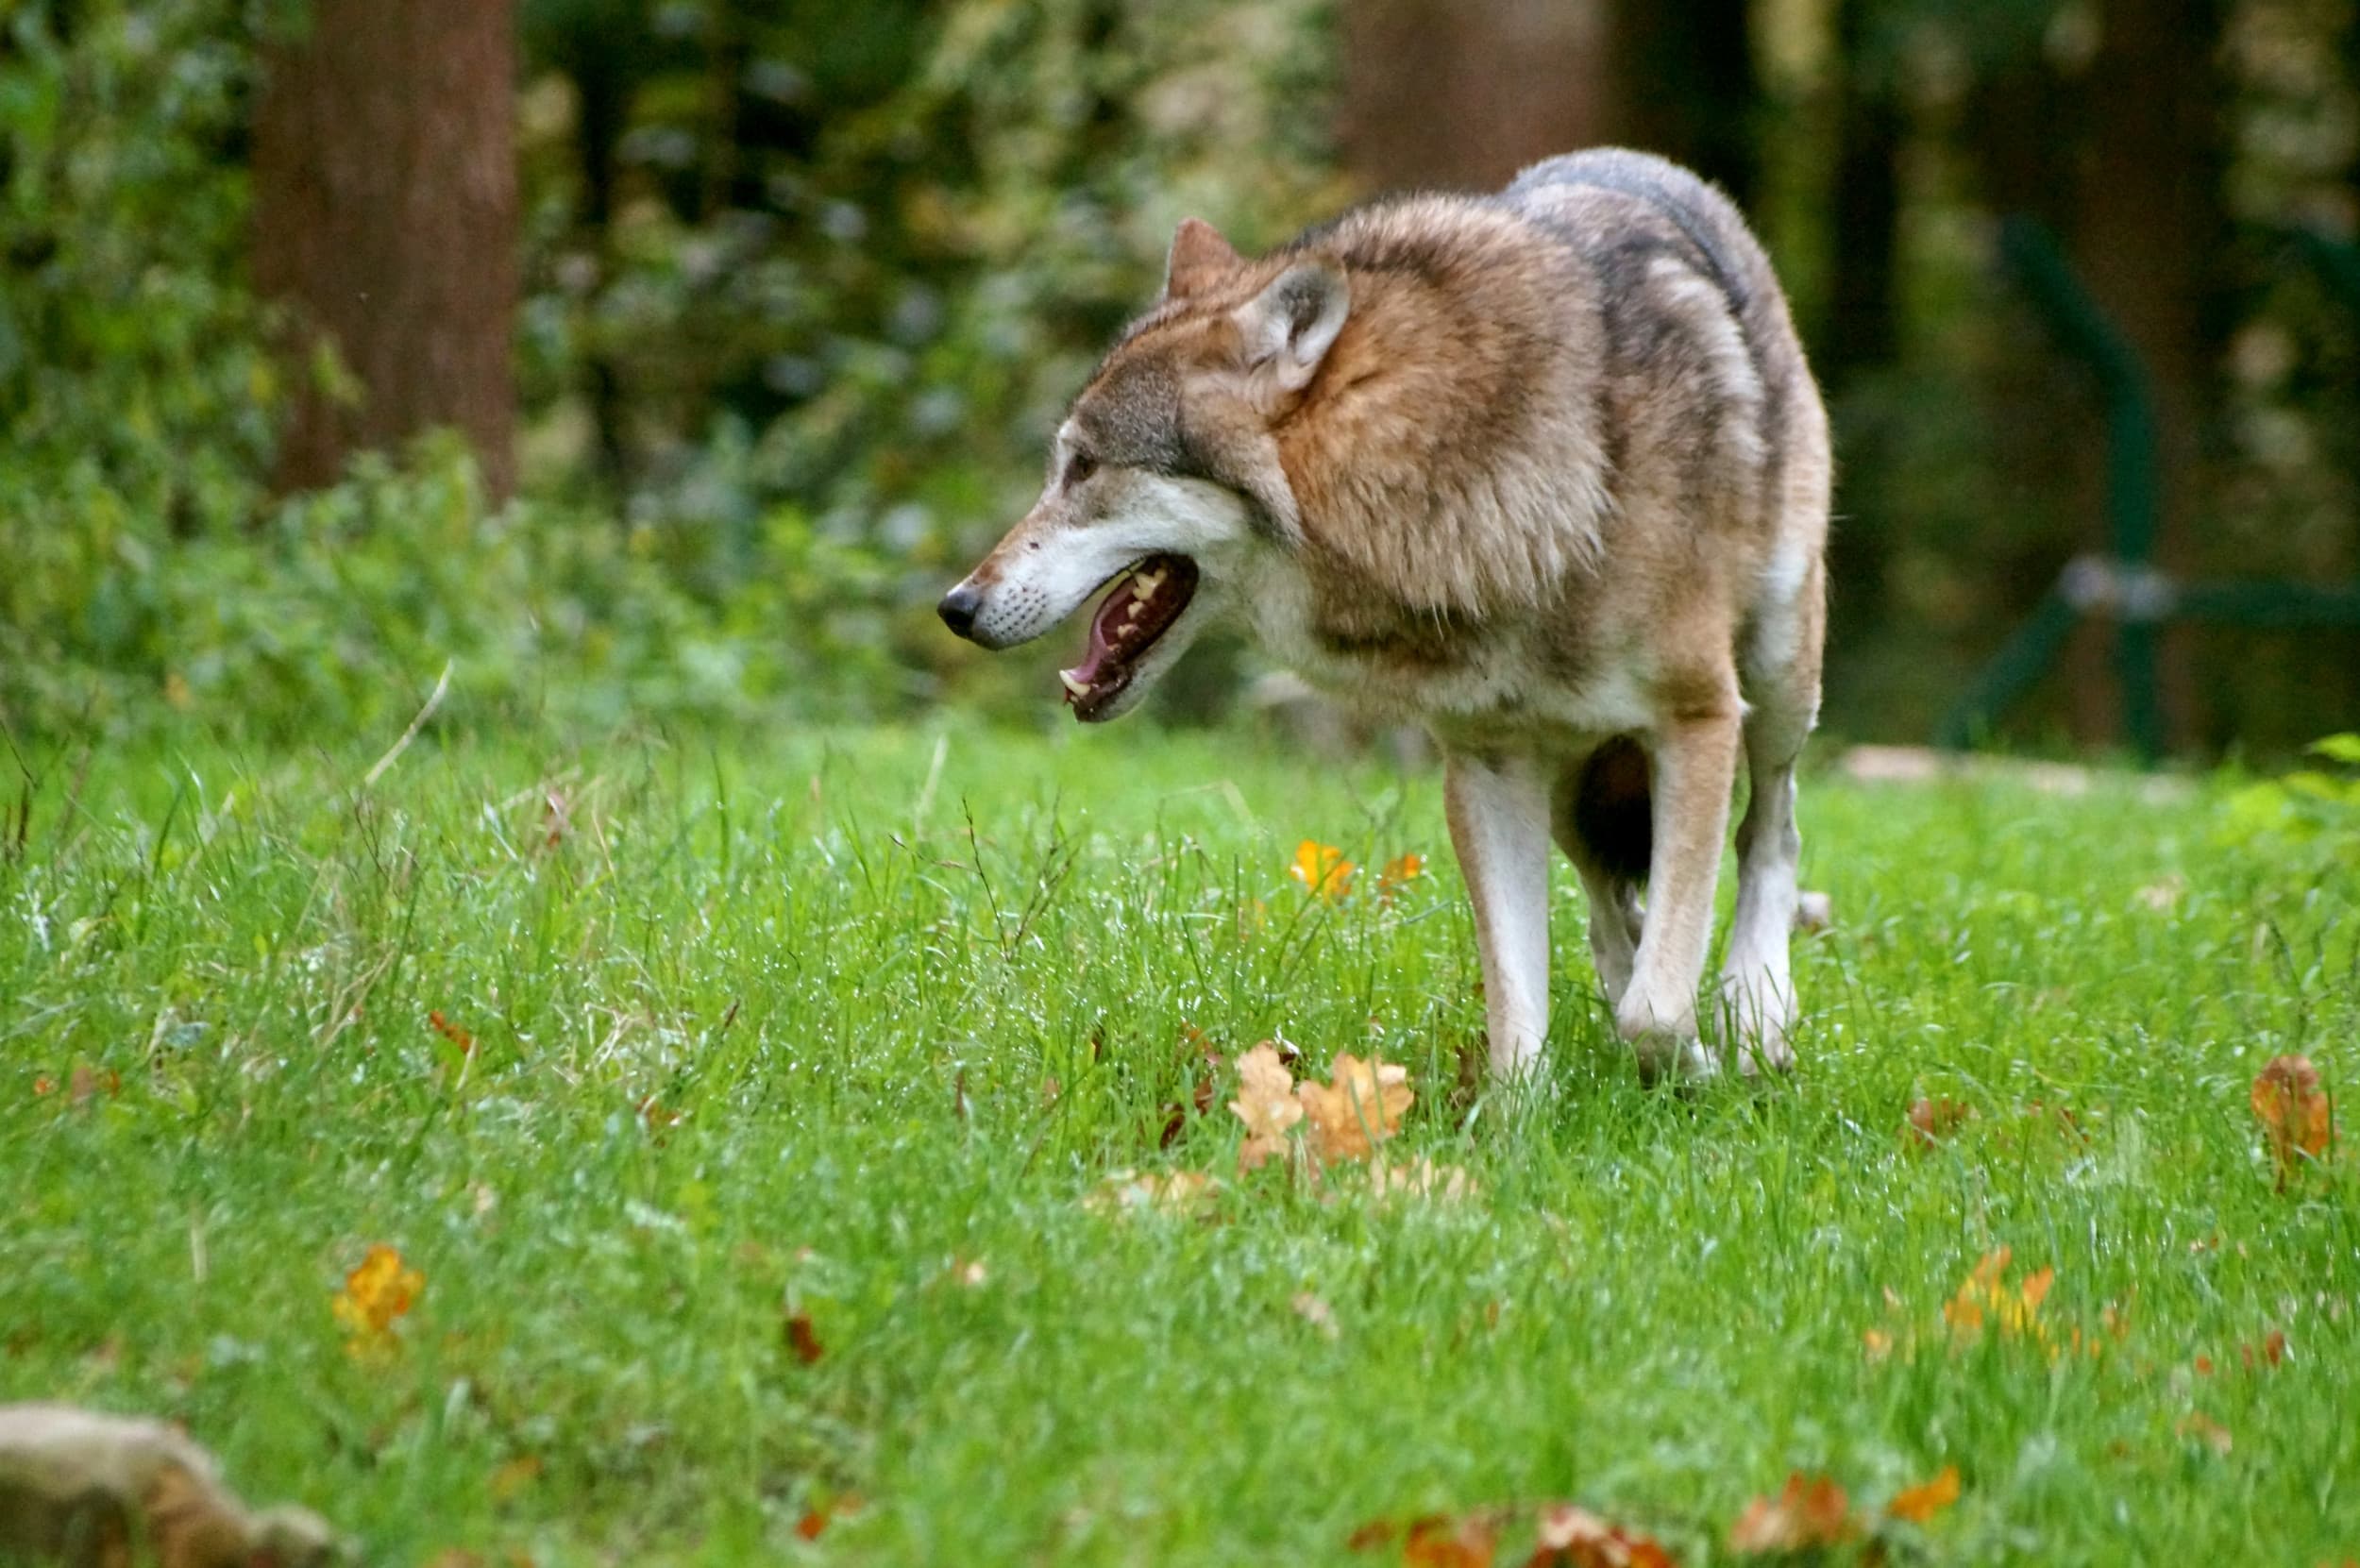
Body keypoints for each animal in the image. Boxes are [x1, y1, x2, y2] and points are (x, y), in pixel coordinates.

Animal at [938, 149, 1829, 1084]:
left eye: (1083, 467)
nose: (956, 605)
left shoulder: (1696, 719)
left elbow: (1655, 1009)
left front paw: (1701, 1062)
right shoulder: (1486, 763)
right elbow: (1522, 1020)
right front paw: (1534, 1114)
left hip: (1773, 681)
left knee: (1772, 832)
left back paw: (1757, 1013)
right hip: (1571, 775)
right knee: (1610, 898)